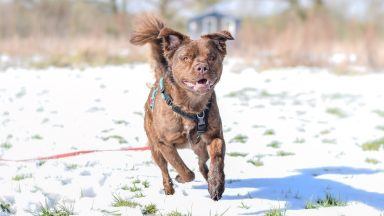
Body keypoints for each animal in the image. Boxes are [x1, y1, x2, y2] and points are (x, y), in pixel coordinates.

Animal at [130, 15, 234, 201]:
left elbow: (217, 158)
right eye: (185, 58)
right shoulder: (164, 144)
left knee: (202, 162)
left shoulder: (215, 136)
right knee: (164, 169)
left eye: (212, 57)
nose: (202, 67)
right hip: (155, 148)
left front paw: (216, 184)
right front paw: (180, 177)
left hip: (199, 147)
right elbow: (183, 169)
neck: (191, 106)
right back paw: (169, 188)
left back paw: (208, 178)